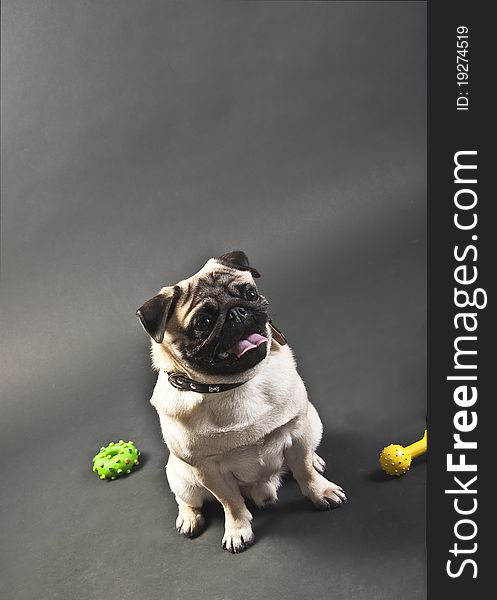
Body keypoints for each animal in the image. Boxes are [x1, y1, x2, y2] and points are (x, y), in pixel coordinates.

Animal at [136, 250, 344, 552]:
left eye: (250, 294)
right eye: (203, 323)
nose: (237, 312)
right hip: (181, 477)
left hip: (313, 421)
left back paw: (315, 459)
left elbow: (304, 470)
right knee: (187, 499)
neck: (233, 386)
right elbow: (230, 502)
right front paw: (237, 530)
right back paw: (188, 518)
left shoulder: (297, 431)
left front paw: (321, 492)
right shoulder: (208, 470)